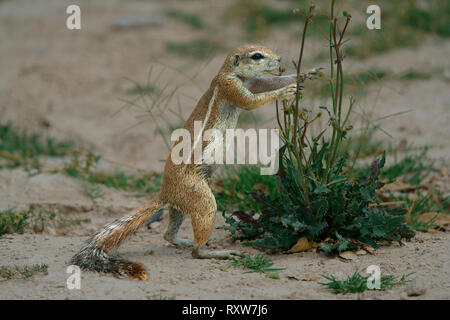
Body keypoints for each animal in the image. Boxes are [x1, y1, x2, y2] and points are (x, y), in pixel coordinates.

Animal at [71, 45, 316, 280]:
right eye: (257, 56)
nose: (280, 59)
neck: (230, 72)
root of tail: (165, 193)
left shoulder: (253, 82)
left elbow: (268, 82)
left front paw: (306, 74)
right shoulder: (231, 87)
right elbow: (252, 101)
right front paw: (285, 91)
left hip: (182, 204)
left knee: (168, 233)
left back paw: (185, 241)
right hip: (200, 197)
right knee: (196, 247)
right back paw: (212, 251)